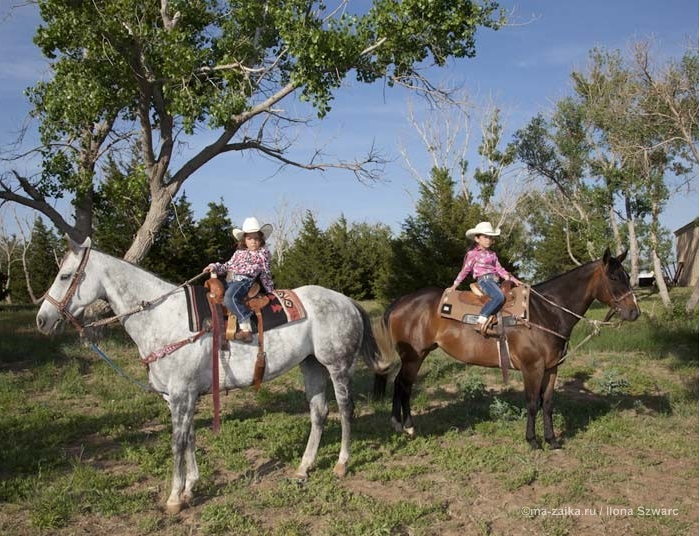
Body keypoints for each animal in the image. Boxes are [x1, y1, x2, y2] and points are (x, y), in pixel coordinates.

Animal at [374, 249, 644, 450]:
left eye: (627, 277)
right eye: (615, 278)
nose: (634, 312)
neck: (545, 312)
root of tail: (401, 301)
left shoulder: (552, 368)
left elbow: (548, 404)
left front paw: (552, 440)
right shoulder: (532, 368)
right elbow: (532, 403)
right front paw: (533, 441)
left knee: (399, 384)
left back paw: (398, 425)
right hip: (414, 356)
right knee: (405, 386)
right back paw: (409, 427)